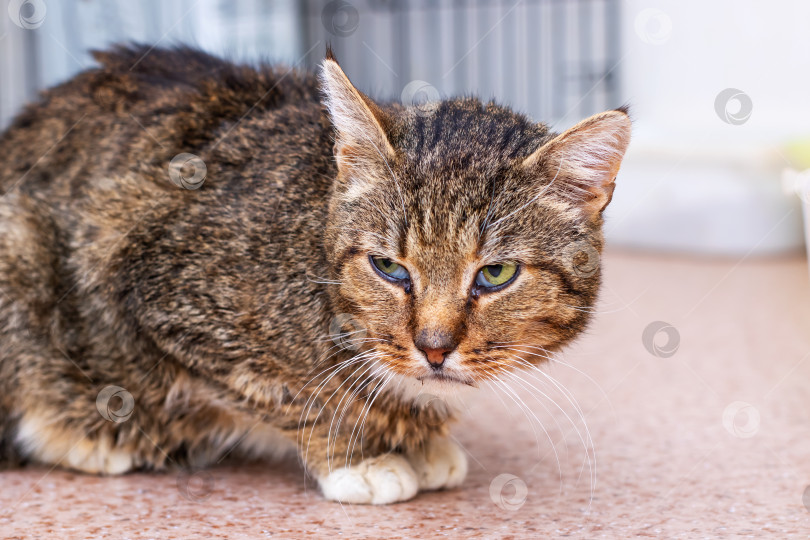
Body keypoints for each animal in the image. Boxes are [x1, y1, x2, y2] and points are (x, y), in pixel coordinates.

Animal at [0, 44, 632, 504]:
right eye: (388, 267)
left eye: (495, 274)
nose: (432, 347)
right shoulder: (156, 292)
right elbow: (296, 394)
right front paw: (357, 454)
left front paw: (419, 436)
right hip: (22, 252)